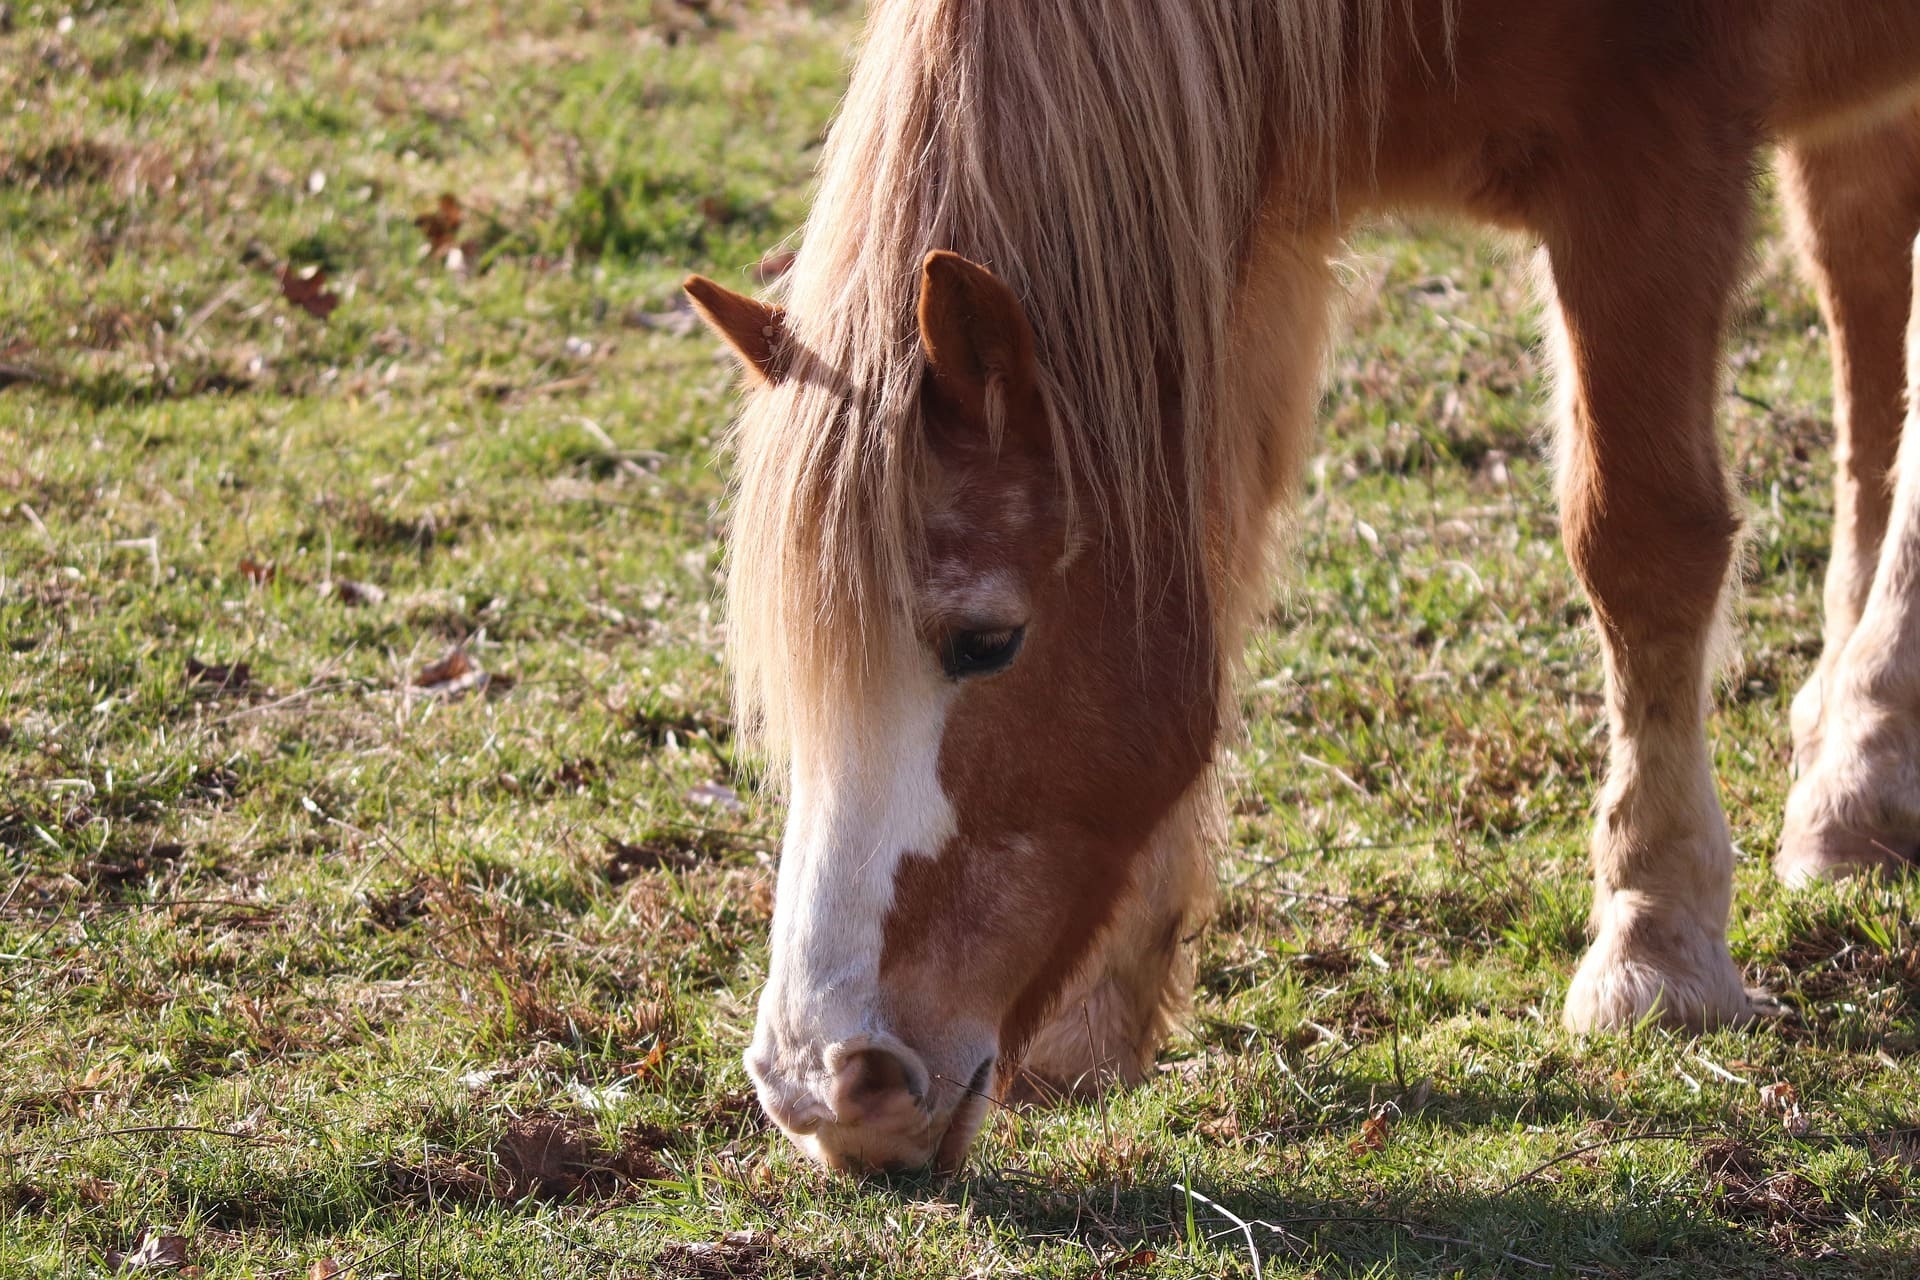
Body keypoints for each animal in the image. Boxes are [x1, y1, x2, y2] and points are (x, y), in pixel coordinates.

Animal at [683, 0, 1920, 1174]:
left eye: (986, 641)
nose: (822, 1089)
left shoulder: (1652, 151)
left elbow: (1640, 541)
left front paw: (1655, 945)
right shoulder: (1243, 227)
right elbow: (1213, 555)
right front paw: (1105, 1008)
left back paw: (1864, 767)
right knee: (1864, 302)